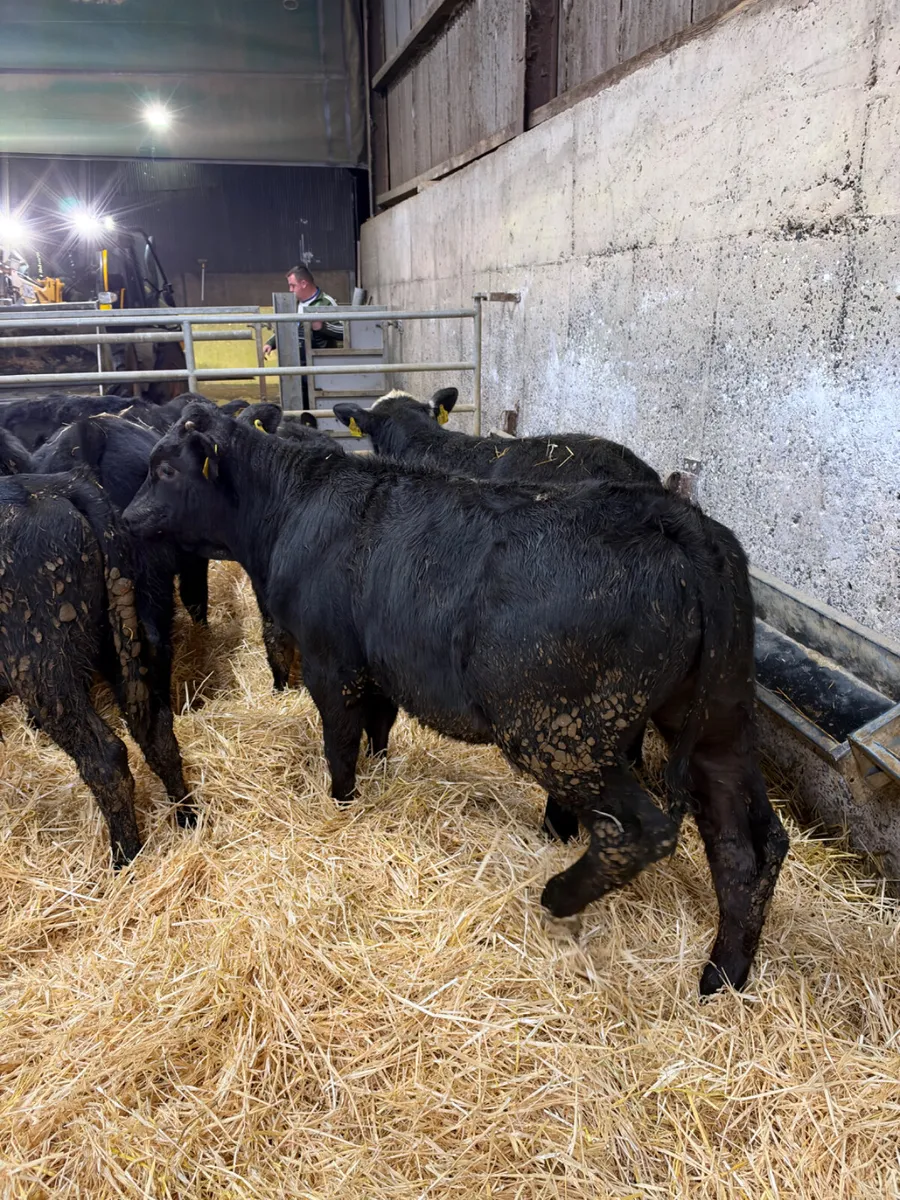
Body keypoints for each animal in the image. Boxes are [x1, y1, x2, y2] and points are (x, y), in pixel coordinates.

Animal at [0, 470, 195, 866]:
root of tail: (60, 484)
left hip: (43, 670)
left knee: (105, 755)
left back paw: (124, 859)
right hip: (123, 642)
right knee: (159, 732)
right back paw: (186, 816)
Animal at [123, 401, 789, 995]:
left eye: (166, 470)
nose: (128, 518)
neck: (291, 508)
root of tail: (676, 520)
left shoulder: (331, 662)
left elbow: (340, 743)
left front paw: (342, 804)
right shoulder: (381, 666)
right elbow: (378, 727)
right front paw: (380, 773)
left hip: (560, 732)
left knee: (640, 829)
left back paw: (559, 895)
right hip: (718, 724)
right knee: (748, 848)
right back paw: (721, 977)